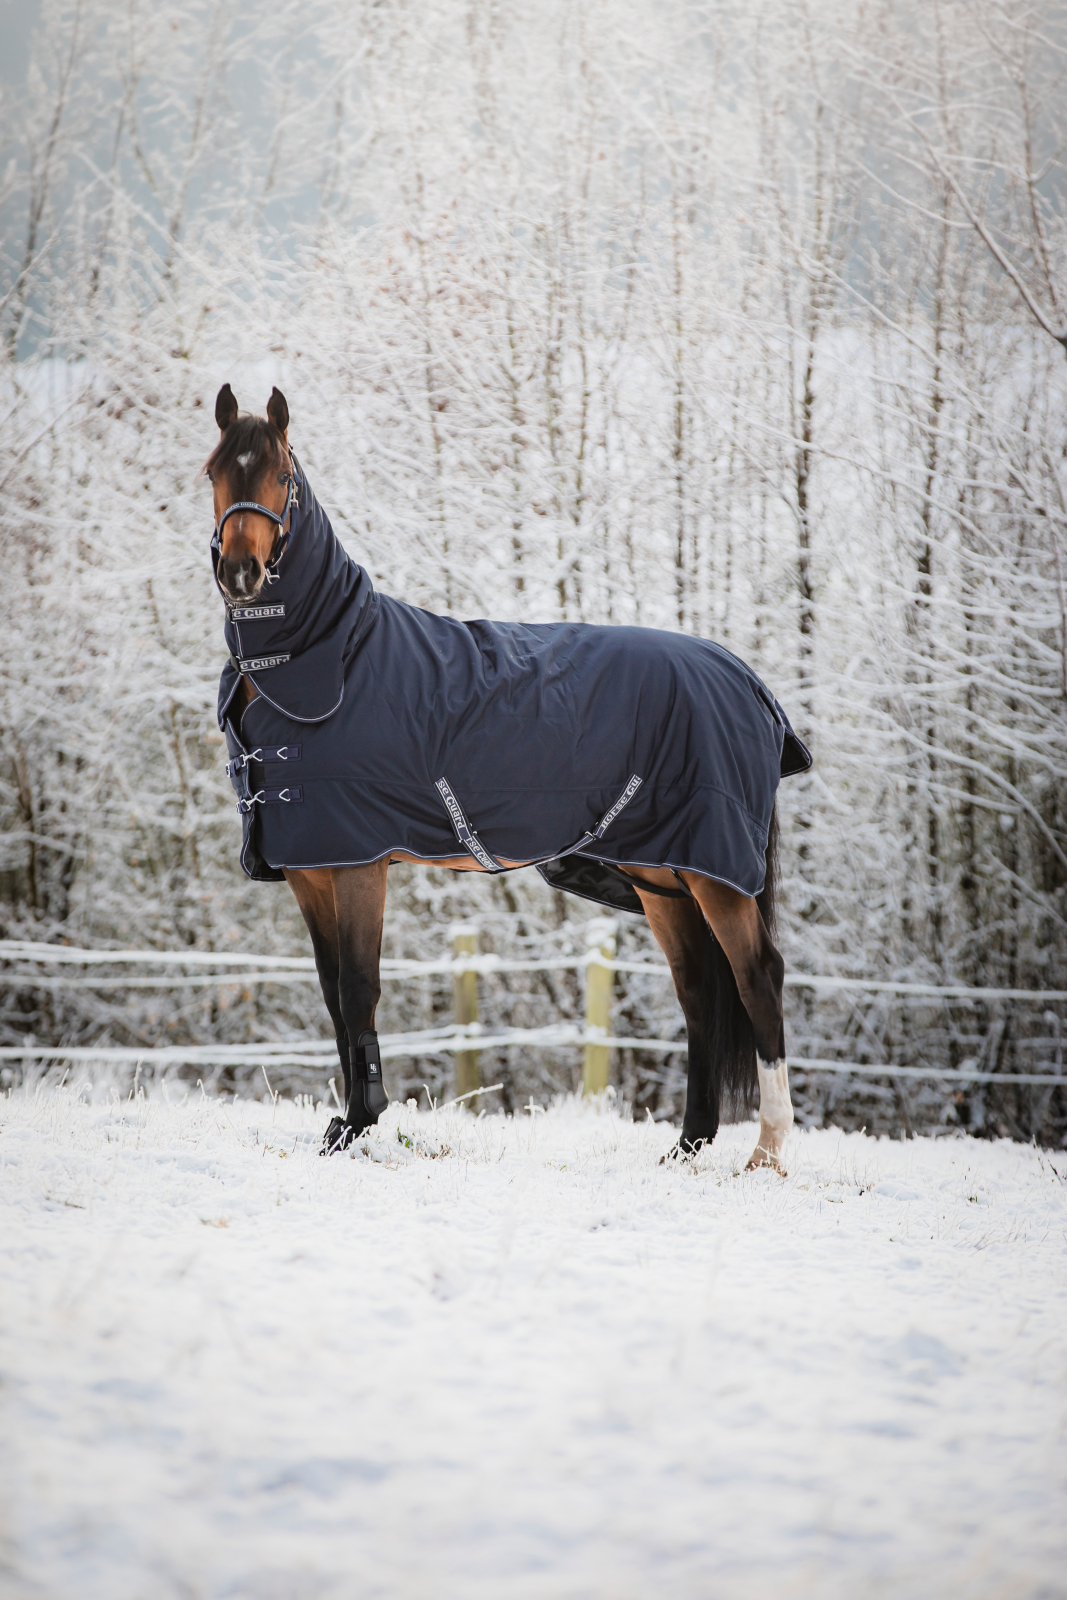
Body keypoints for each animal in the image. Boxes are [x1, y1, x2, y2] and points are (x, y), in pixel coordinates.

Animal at [206, 384, 809, 1171]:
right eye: (214, 472)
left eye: (282, 476)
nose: (241, 574)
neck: (330, 660)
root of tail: (748, 682)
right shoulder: (312, 870)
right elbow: (334, 994)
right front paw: (344, 1126)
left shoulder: (359, 863)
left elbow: (360, 987)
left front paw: (363, 1120)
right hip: (662, 875)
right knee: (698, 990)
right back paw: (687, 1144)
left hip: (715, 874)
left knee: (757, 978)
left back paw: (766, 1150)